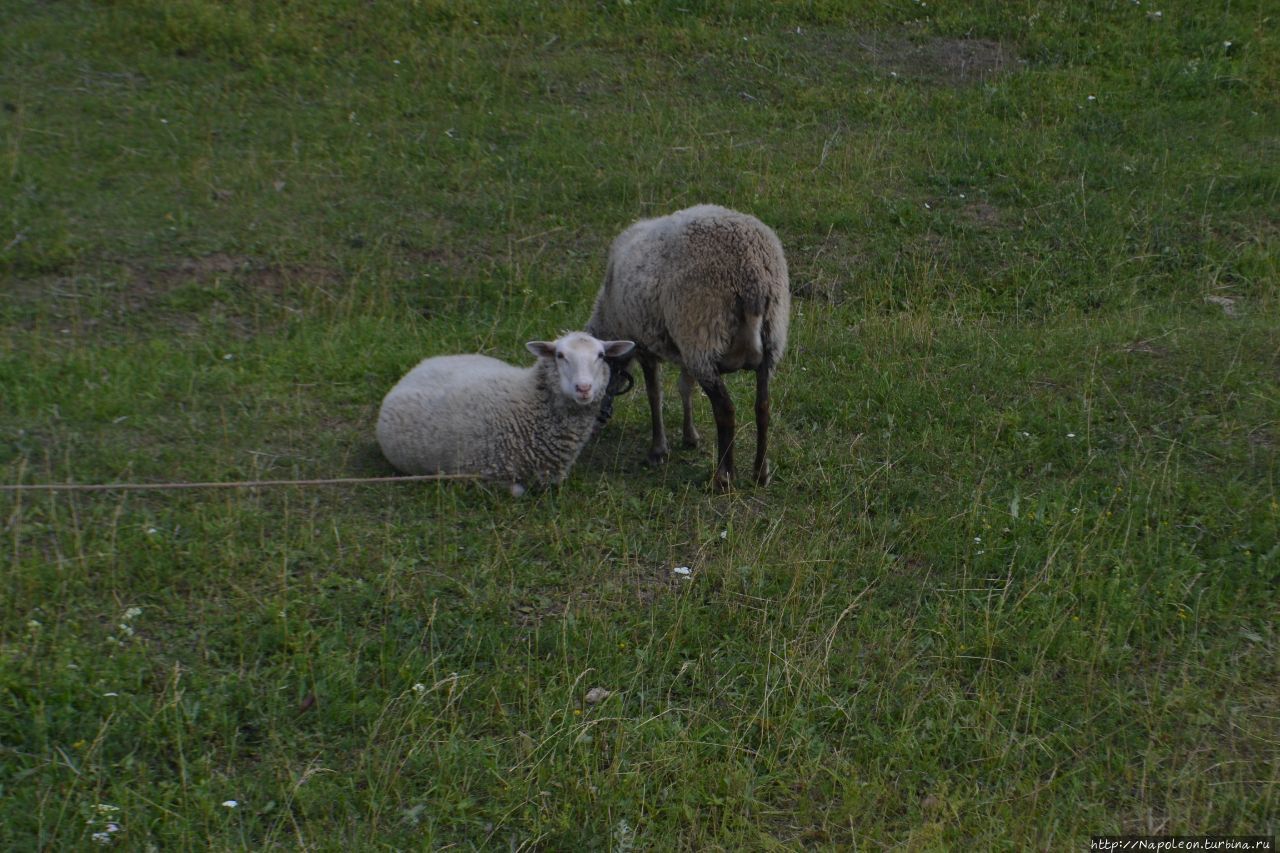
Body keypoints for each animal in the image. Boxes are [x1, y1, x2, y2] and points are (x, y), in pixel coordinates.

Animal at [378, 330, 640, 494]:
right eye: (560, 355)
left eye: (601, 355)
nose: (584, 388)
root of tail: (417, 368)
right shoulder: (484, 475)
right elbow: (518, 491)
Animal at [588, 202, 788, 489]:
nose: (595, 428)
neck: (610, 318)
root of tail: (752, 277)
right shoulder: (683, 349)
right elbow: (685, 387)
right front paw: (689, 436)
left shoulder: (645, 344)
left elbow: (655, 395)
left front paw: (657, 450)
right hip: (770, 338)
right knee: (763, 407)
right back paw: (760, 472)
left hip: (703, 335)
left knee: (725, 410)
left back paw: (724, 476)